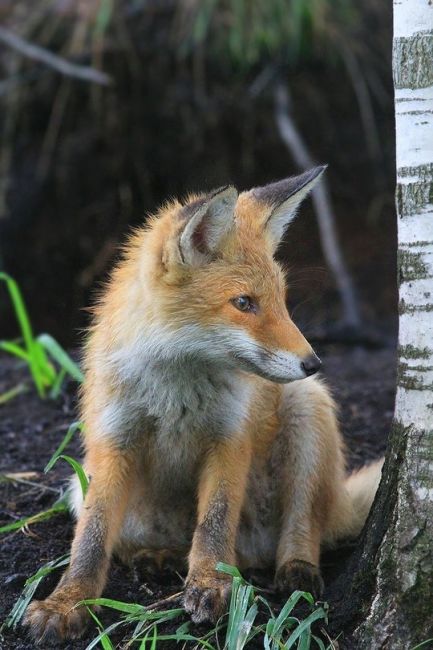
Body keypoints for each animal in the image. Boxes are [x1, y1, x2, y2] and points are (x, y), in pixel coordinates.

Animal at [24, 165, 382, 640]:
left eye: (282, 301)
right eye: (244, 303)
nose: (313, 362)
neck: (176, 385)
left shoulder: (229, 436)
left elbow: (214, 522)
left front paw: (211, 584)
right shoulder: (113, 439)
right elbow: (92, 539)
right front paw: (68, 601)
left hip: (306, 410)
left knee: (301, 524)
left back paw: (294, 571)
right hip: (75, 487)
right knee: (141, 540)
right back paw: (157, 557)